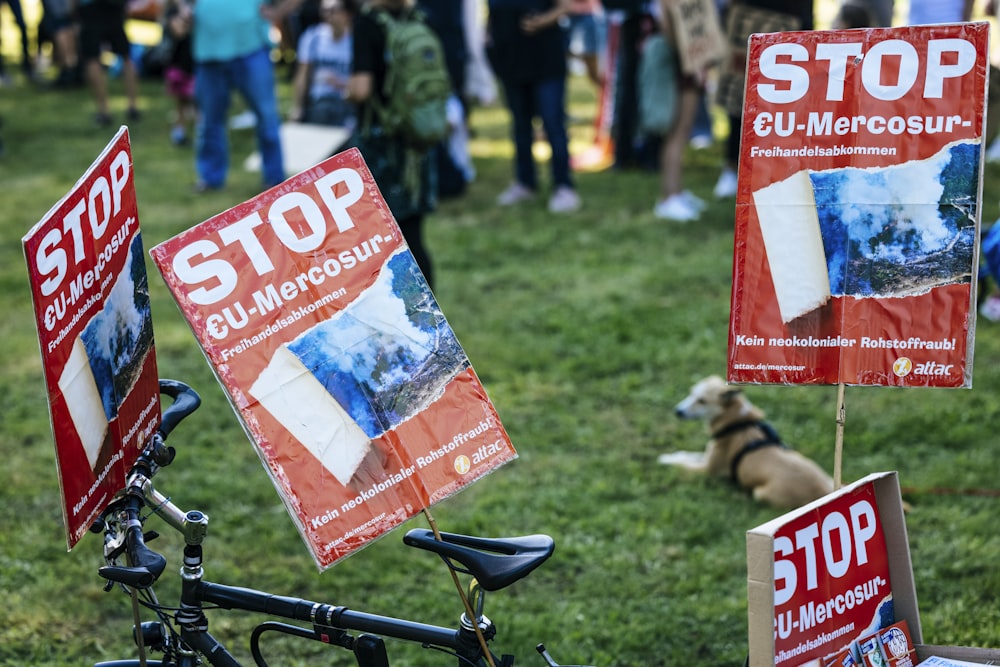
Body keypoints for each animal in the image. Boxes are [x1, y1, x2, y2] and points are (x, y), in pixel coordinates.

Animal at [656, 376, 836, 512]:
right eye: (691, 393)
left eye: (702, 401)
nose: (677, 411)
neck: (736, 421)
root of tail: (825, 491)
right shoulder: (707, 456)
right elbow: (687, 455)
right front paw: (671, 455)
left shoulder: (708, 470)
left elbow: (682, 465)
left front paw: (664, 461)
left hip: (760, 492)